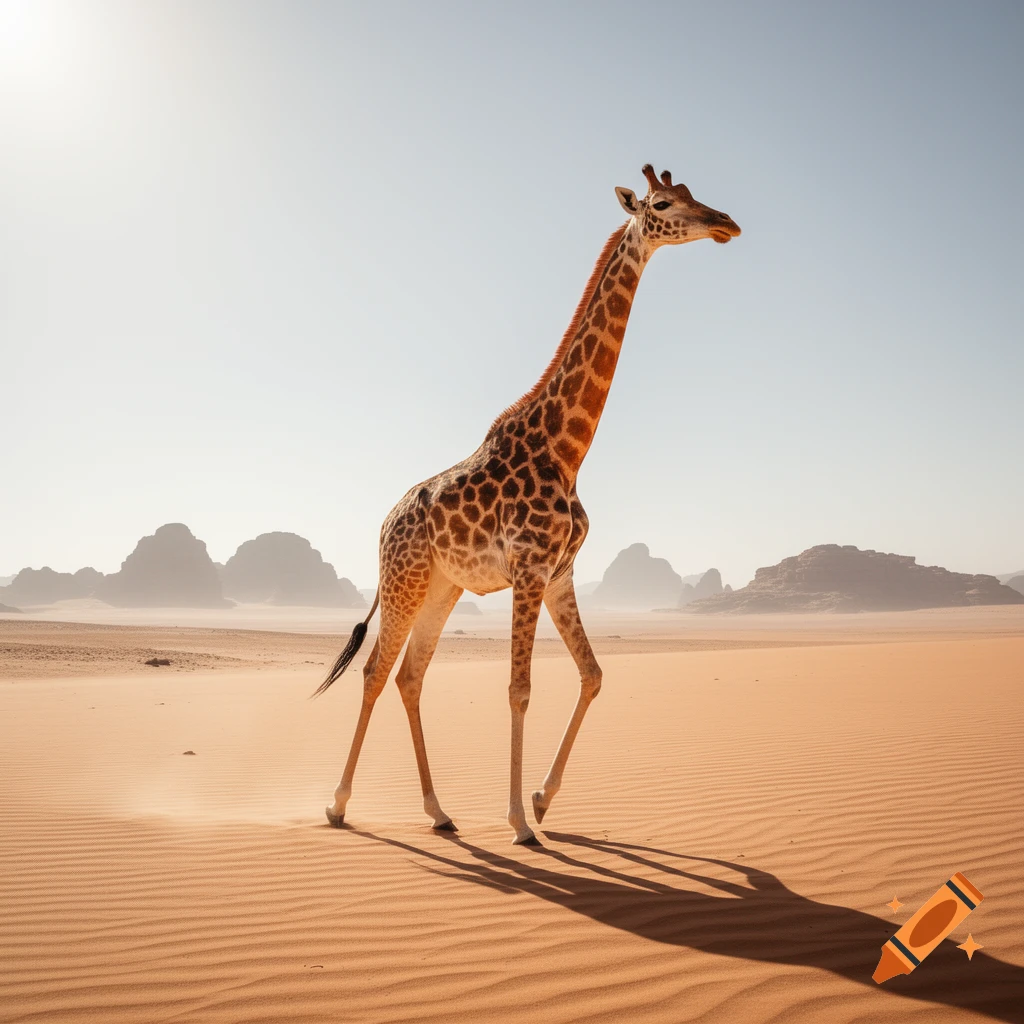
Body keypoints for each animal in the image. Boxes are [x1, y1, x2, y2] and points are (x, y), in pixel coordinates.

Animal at [315, 164, 740, 844]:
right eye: (663, 203)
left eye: (695, 194)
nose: (726, 222)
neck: (567, 449)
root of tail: (383, 523)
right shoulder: (529, 568)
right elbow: (519, 687)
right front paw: (518, 821)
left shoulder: (560, 572)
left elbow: (593, 674)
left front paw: (541, 800)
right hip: (405, 580)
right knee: (376, 670)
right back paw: (338, 804)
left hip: (442, 587)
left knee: (411, 675)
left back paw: (438, 811)